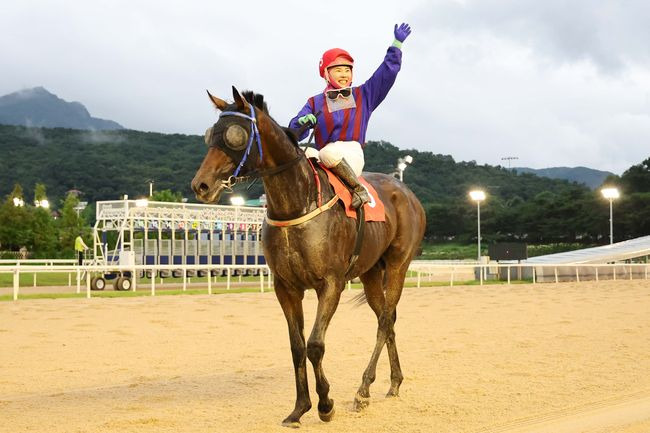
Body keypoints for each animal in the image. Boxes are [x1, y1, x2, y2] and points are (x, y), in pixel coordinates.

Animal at [190, 87, 428, 426]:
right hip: (370, 272)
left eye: (235, 135)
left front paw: (325, 404)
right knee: (389, 318)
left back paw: (363, 390)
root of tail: (405, 192)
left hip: (398, 265)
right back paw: (393, 383)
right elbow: (296, 346)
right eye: (211, 134)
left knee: (384, 321)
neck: (295, 204)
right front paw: (300, 407)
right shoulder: (286, 287)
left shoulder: (331, 284)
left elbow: (315, 345)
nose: (201, 185)